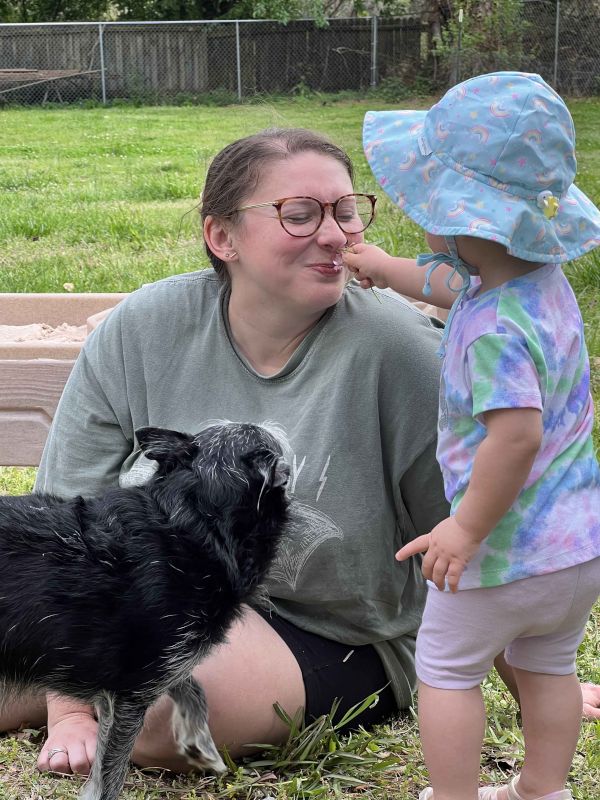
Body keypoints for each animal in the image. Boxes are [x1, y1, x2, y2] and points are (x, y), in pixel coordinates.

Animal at [0, 422, 290, 796]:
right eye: (258, 438)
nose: (268, 423)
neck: (193, 522)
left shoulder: (148, 672)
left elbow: (191, 687)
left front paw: (199, 743)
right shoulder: (129, 698)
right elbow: (110, 776)